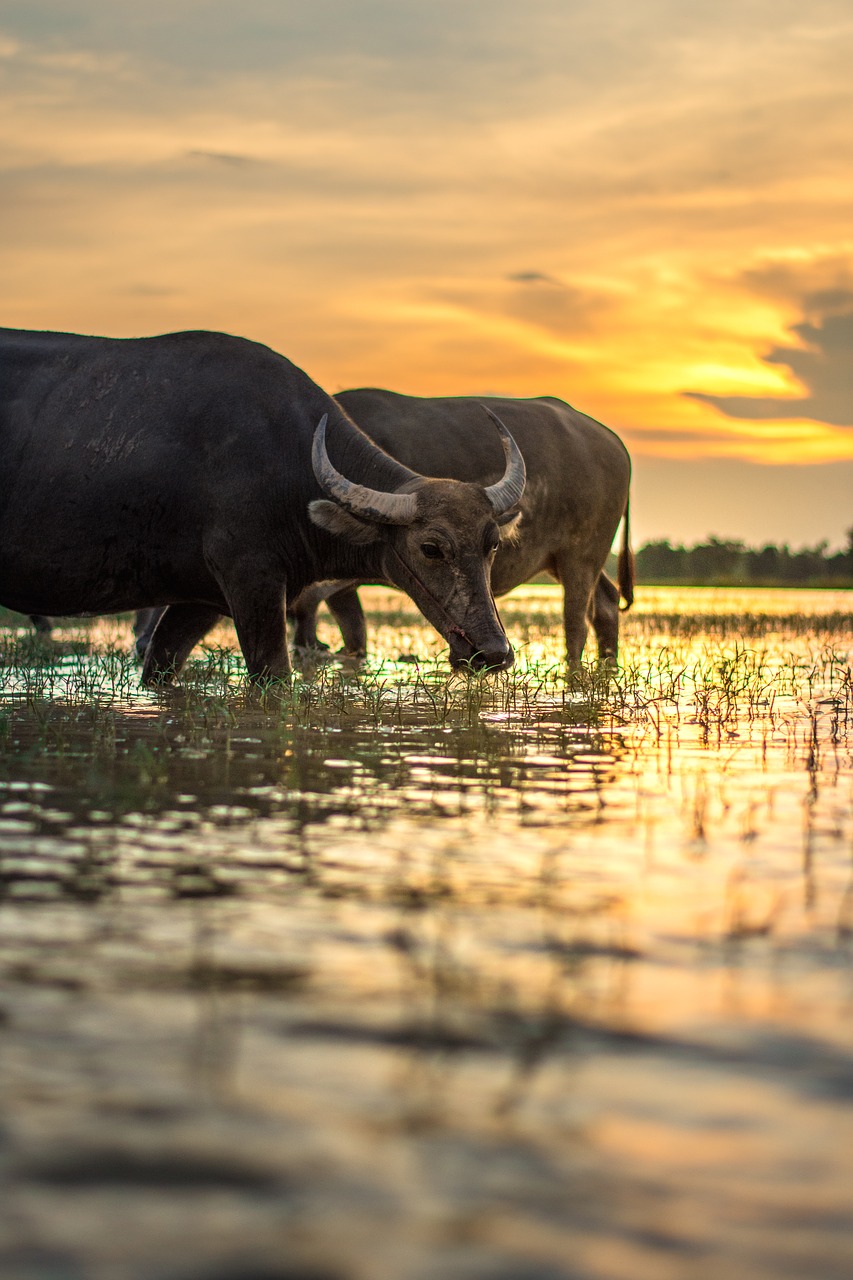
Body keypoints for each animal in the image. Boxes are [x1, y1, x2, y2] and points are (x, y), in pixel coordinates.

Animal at [1, 327, 525, 680]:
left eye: (492, 545)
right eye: (431, 548)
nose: (494, 653)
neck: (289, 465)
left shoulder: (200, 600)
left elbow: (160, 664)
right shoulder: (252, 579)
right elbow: (274, 674)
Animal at [281, 389, 627, 665]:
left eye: (494, 544)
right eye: (431, 550)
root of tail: (613, 444)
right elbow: (350, 634)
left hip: (580, 558)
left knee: (576, 623)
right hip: (569, 561)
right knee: (607, 605)